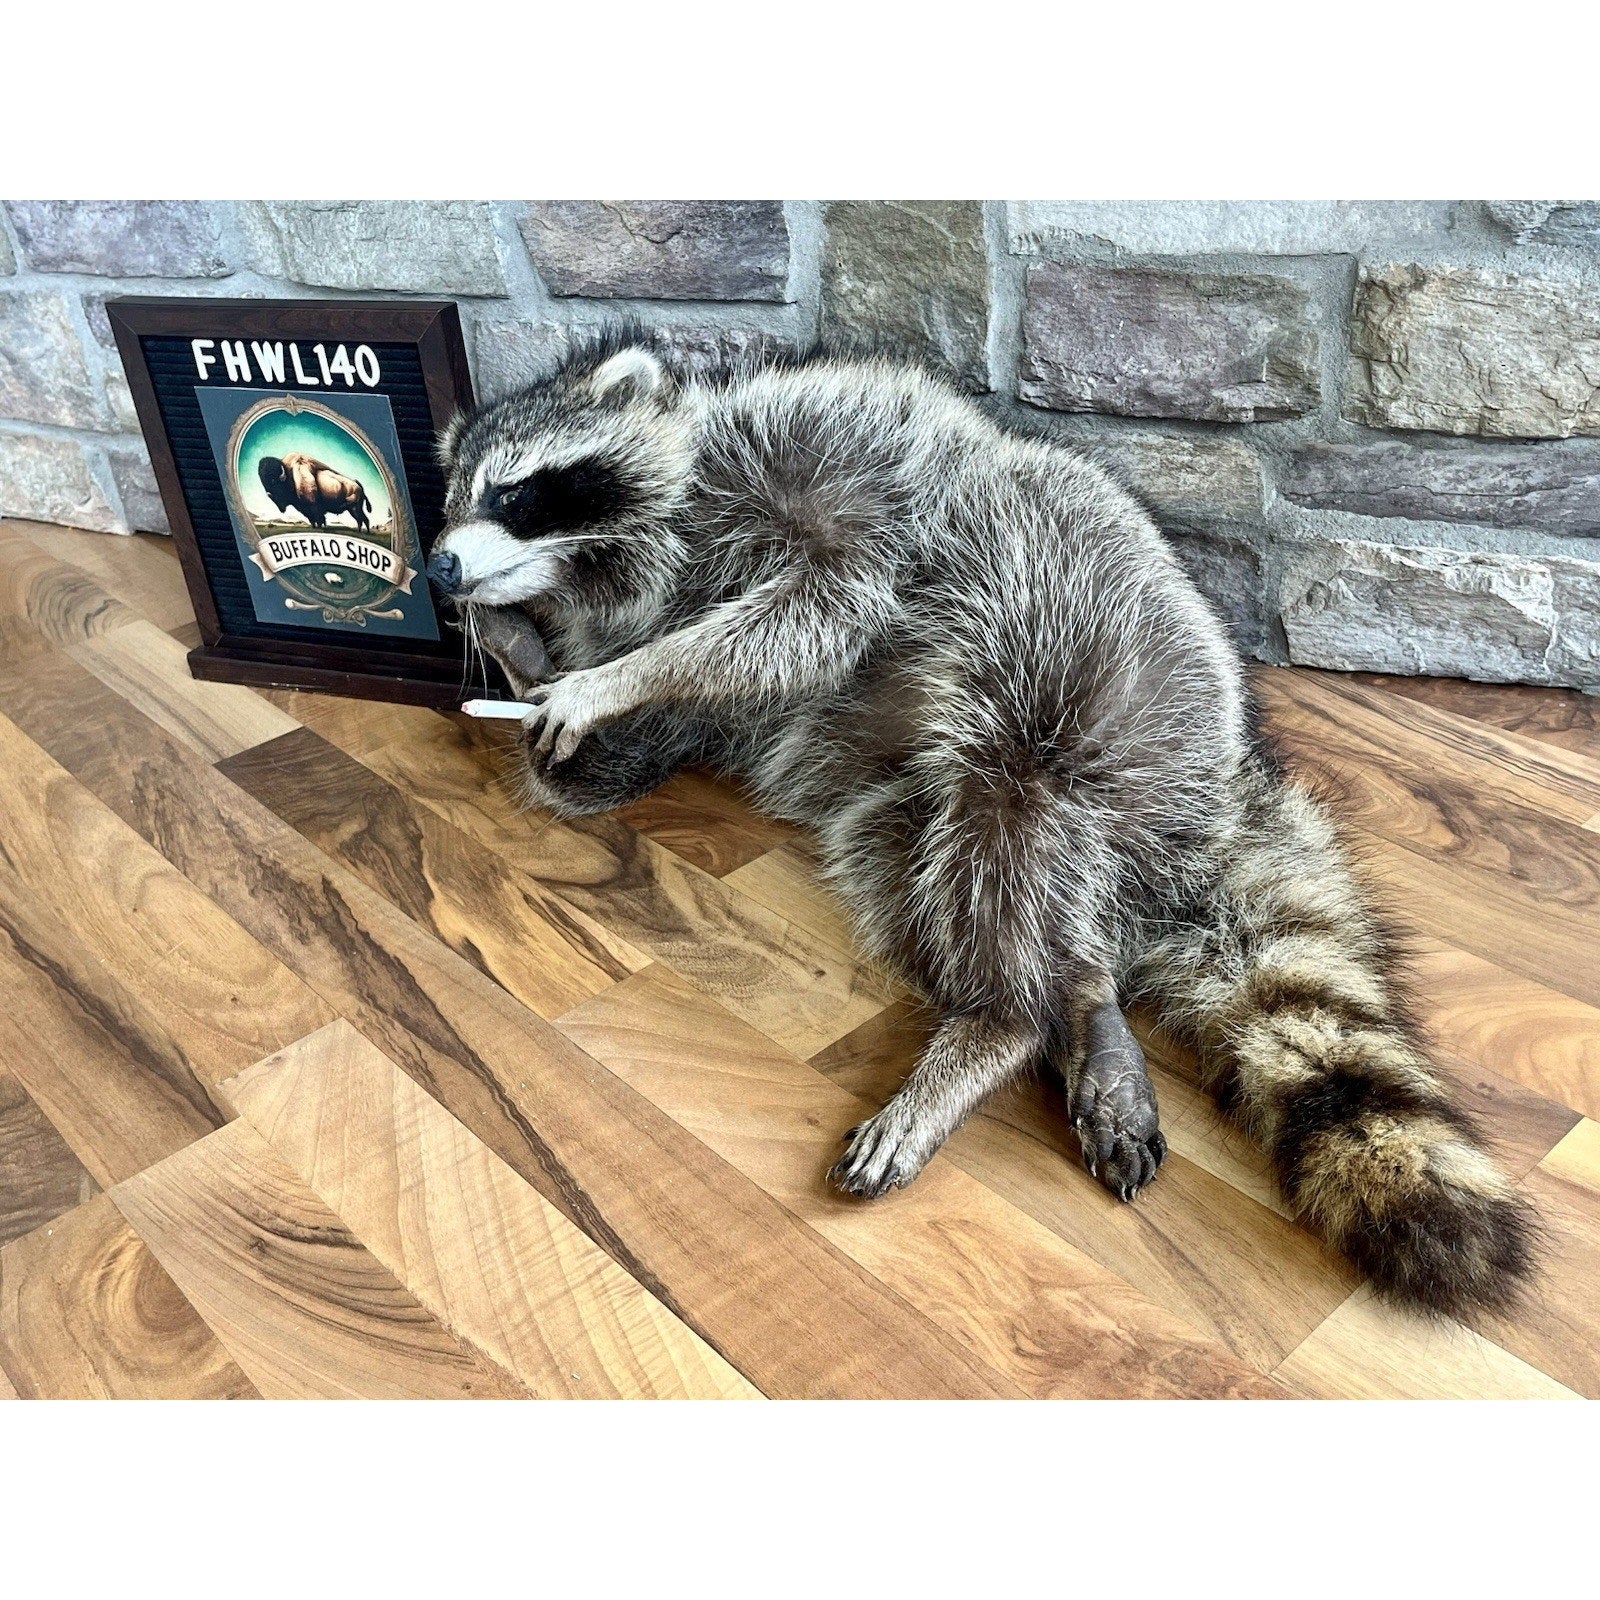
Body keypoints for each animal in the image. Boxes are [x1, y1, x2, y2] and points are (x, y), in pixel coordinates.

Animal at [429, 332, 1536, 1320]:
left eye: (512, 492)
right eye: (450, 497)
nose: (434, 568)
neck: (631, 555)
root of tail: (1227, 783)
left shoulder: (825, 475)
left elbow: (811, 614)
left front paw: (614, 674)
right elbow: (613, 770)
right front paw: (523, 652)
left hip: (1094, 681)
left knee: (1008, 824)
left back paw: (1000, 1023)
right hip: (889, 793)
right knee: (948, 883)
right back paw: (1078, 1001)